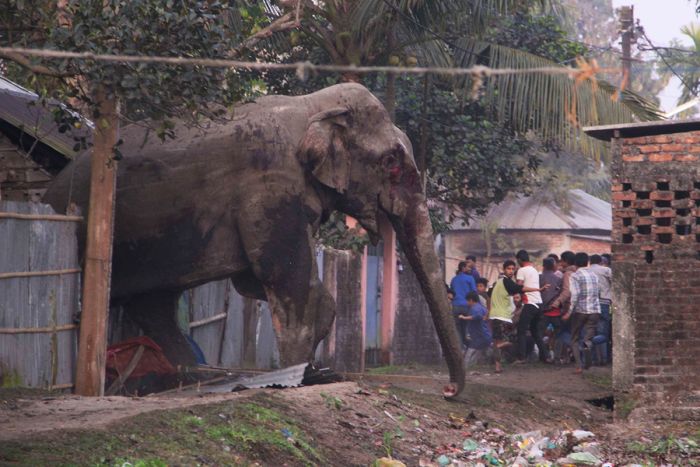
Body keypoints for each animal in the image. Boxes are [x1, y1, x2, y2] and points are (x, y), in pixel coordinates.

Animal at [45, 84, 470, 398]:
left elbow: (264, 281)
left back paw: (193, 377)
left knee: (155, 304)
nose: (448, 390)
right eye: (392, 164)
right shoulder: (269, 186)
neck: (311, 105)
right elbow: (280, 273)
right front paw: (299, 376)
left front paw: (313, 369)